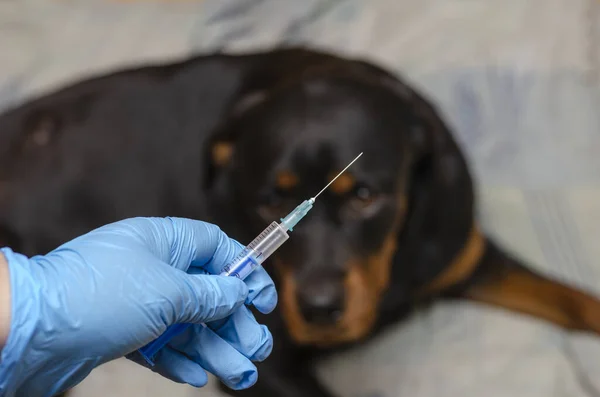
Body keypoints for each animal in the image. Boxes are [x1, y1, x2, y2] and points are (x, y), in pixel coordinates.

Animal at [1, 47, 600, 396]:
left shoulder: (460, 253)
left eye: (365, 196)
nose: (319, 308)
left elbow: (570, 299)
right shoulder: (272, 365)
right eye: (270, 199)